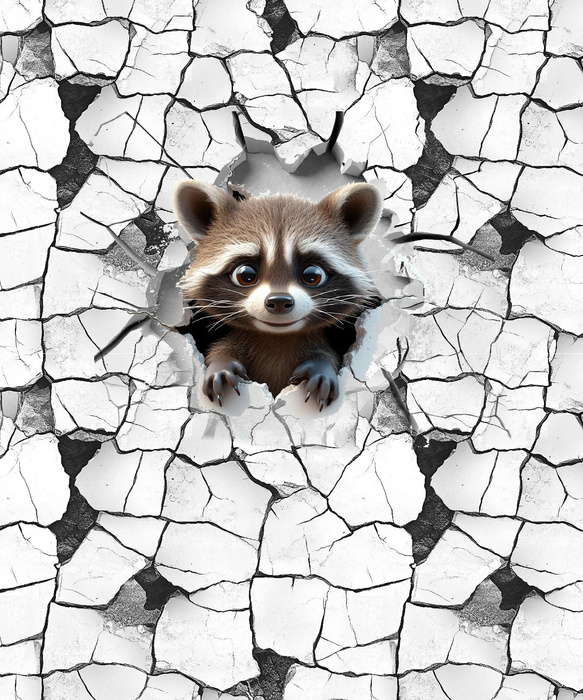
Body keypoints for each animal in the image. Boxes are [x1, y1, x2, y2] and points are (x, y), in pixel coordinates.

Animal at [173, 180, 383, 410]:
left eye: (312, 276)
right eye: (245, 275)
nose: (280, 301)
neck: (277, 337)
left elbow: (326, 355)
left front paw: (321, 367)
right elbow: (223, 348)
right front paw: (221, 364)